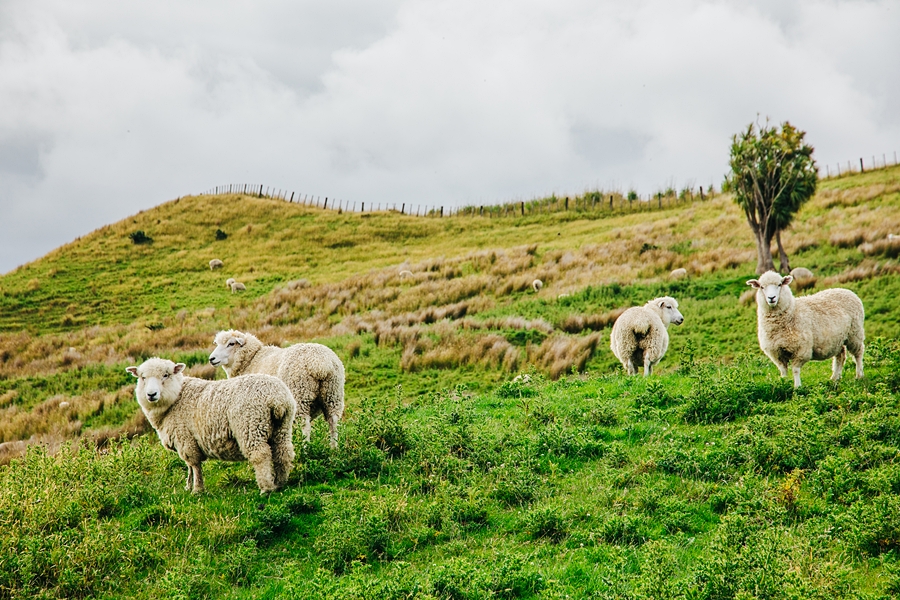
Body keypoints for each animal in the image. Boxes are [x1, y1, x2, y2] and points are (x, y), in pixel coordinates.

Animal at [126, 356, 298, 492]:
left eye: (166, 375)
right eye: (142, 377)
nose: (151, 394)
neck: (176, 398)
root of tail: (276, 398)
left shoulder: (185, 439)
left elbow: (194, 465)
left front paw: (197, 489)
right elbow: (189, 466)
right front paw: (188, 486)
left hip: (250, 425)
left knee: (260, 455)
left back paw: (266, 488)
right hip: (282, 426)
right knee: (283, 452)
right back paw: (280, 483)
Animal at [209, 330, 346, 448]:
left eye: (231, 343)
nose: (211, 359)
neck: (252, 360)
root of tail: (320, 364)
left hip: (300, 395)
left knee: (305, 426)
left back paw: (305, 449)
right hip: (332, 394)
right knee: (333, 422)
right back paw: (334, 449)